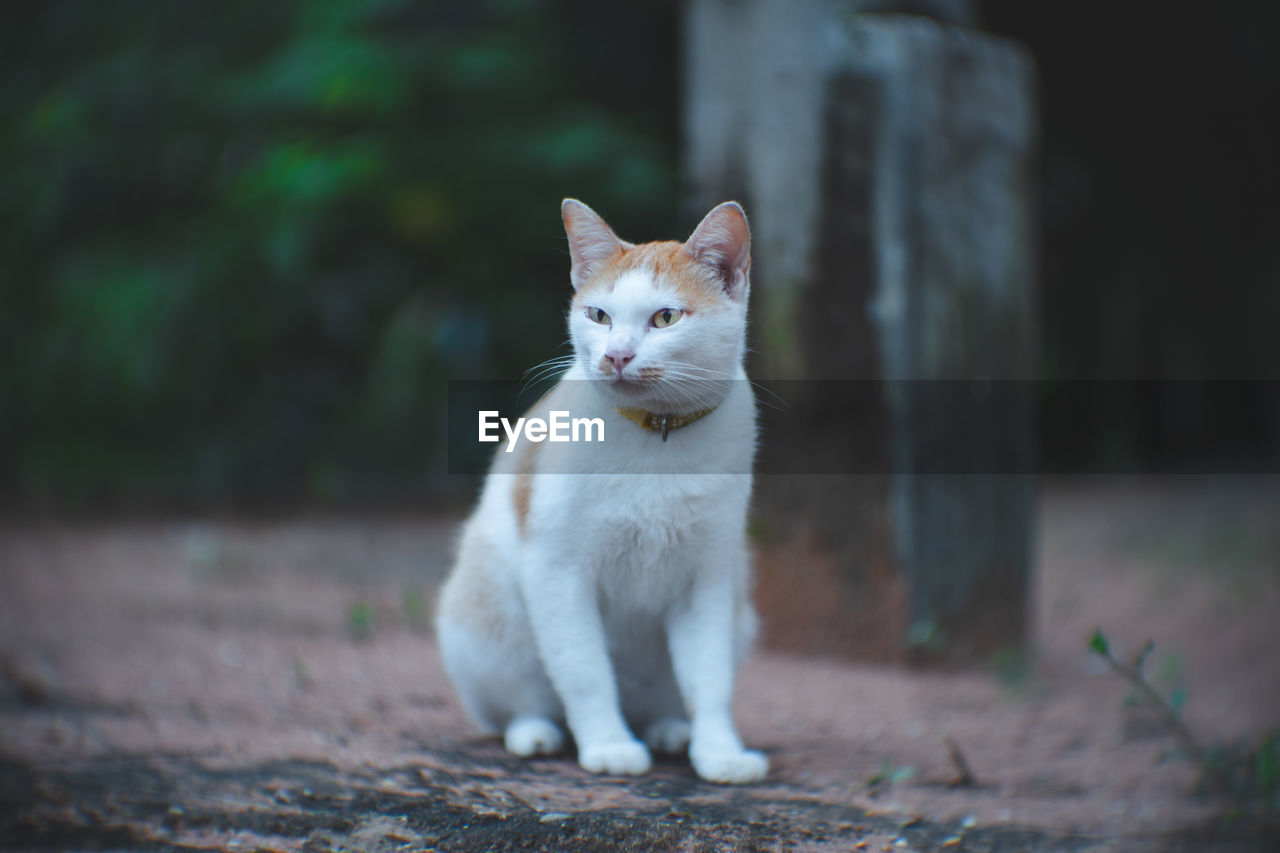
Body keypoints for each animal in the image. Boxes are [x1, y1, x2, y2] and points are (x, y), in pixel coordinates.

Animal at [435, 199, 762, 783]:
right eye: (599, 316)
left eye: (665, 318)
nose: (617, 355)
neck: (656, 433)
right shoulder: (558, 572)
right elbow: (584, 671)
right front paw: (608, 745)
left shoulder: (707, 581)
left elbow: (709, 679)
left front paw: (720, 752)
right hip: (485, 612)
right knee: (522, 700)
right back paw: (537, 732)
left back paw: (669, 729)